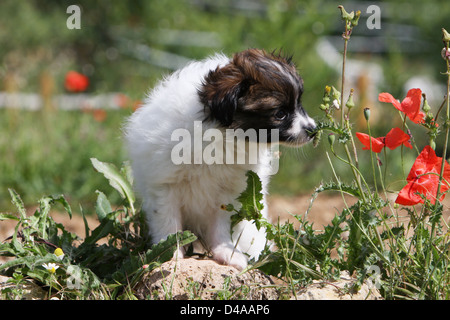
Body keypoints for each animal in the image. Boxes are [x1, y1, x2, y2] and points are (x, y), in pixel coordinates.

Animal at [124, 48, 316, 270]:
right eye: (281, 113)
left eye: (299, 104)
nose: (314, 130)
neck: (221, 134)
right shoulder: (165, 185)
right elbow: (168, 221)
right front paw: (170, 253)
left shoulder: (228, 194)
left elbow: (221, 225)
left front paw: (226, 252)